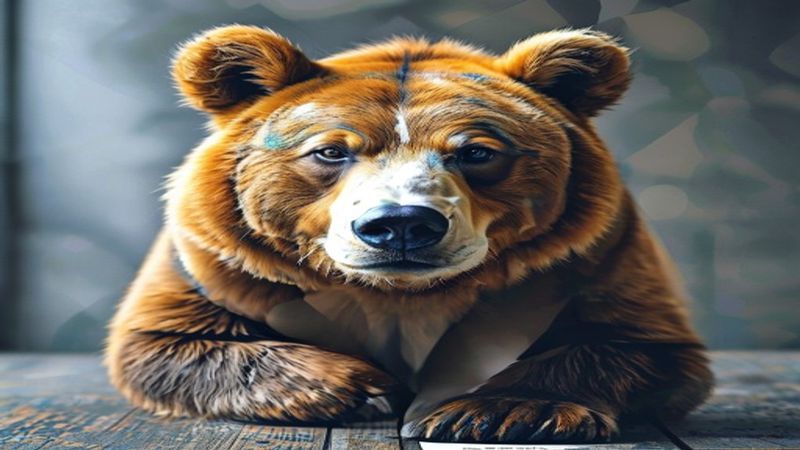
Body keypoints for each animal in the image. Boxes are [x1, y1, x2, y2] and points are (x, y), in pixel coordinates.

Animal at [105, 25, 713, 444]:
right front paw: (360, 387)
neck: (402, 294)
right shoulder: (216, 262)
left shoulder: (596, 257)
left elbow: (634, 344)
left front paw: (499, 410)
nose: (400, 223)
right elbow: (165, 342)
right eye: (331, 150)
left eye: (477, 152)